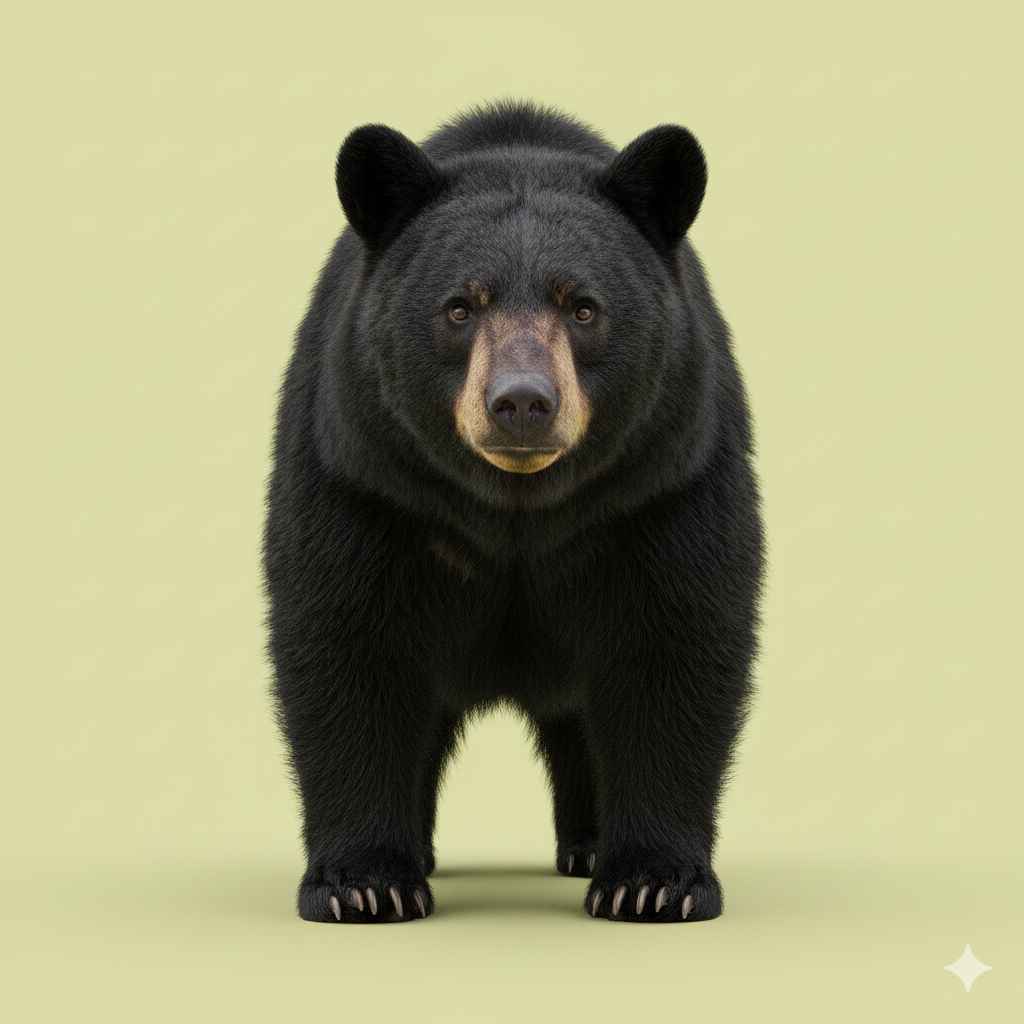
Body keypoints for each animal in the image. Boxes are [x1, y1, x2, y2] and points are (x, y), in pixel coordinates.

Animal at [263, 100, 764, 924]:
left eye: (583, 307)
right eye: (460, 306)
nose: (522, 402)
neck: (517, 509)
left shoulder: (665, 480)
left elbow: (674, 645)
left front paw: (653, 882)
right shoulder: (365, 478)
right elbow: (347, 645)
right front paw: (363, 884)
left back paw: (587, 846)